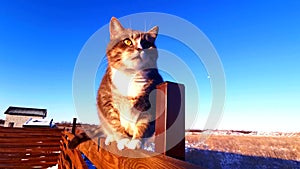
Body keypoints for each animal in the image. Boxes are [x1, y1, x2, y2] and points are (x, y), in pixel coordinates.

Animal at [69, 16, 163, 150]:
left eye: (146, 44)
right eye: (127, 41)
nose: (140, 48)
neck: (130, 75)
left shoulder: (149, 101)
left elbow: (143, 122)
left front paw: (136, 141)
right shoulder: (106, 99)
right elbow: (114, 122)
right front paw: (123, 139)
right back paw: (111, 138)